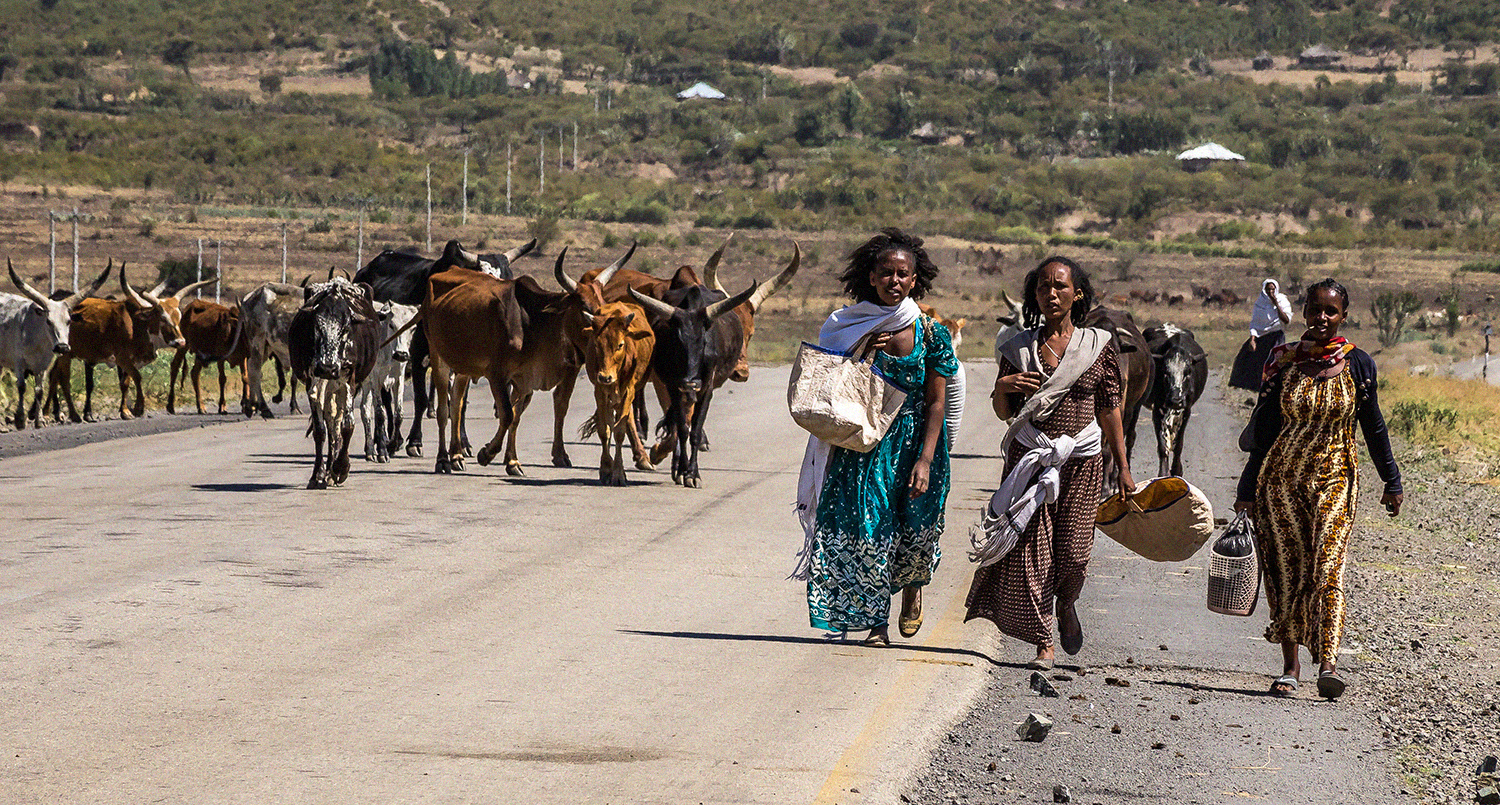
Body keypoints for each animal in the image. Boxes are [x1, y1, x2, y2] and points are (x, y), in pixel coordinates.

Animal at [0, 262, 111, 425]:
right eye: (48, 321)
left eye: (69, 321)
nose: (62, 347)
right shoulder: (18, 362)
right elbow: (21, 386)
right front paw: (20, 418)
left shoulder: (44, 365)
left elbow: (39, 390)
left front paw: (39, 420)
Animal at [286, 275, 381, 488]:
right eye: (316, 327)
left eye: (345, 328)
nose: (328, 368)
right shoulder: (313, 382)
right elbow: (320, 430)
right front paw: (318, 474)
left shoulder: (349, 381)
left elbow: (347, 425)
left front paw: (341, 467)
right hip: (328, 388)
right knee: (331, 424)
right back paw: (327, 472)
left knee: (336, 424)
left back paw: (333, 470)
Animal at [352, 235, 534, 455]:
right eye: (485, 277)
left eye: (509, 279)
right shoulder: (417, 357)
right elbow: (420, 400)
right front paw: (415, 441)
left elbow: (460, 403)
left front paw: (463, 443)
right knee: (387, 399)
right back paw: (390, 440)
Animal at [1140, 323, 1212, 479]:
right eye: (1165, 372)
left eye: (1188, 372)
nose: (1175, 400)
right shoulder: (1157, 410)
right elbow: (1162, 446)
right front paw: (1163, 473)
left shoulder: (1187, 410)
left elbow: (1179, 444)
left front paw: (1177, 470)